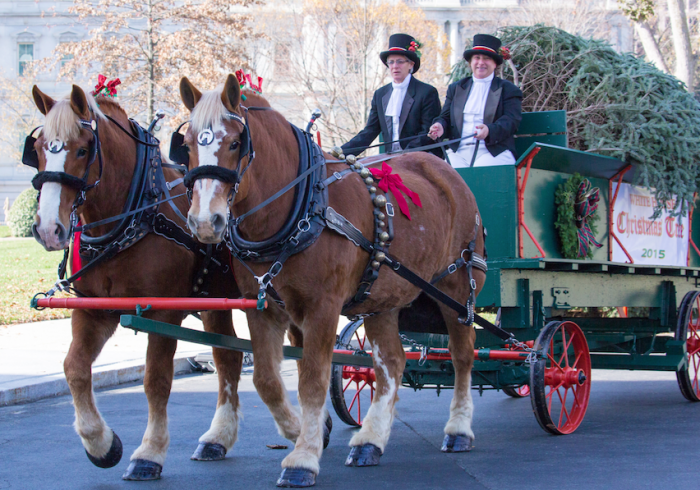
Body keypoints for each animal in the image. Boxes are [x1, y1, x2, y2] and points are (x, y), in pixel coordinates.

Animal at [31, 84, 247, 478]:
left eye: (82, 149)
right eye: (38, 149)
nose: (48, 228)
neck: (134, 215)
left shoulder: (163, 312)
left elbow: (156, 380)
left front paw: (149, 453)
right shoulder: (94, 310)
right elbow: (75, 369)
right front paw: (100, 444)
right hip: (215, 299)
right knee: (228, 357)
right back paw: (218, 437)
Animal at [180, 74, 486, 488]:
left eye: (233, 143)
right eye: (188, 143)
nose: (204, 222)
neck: (301, 207)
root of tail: (446, 170)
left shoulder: (321, 308)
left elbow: (312, 379)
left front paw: (304, 457)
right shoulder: (263, 308)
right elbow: (265, 379)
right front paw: (297, 430)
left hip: (456, 290)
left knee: (462, 355)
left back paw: (459, 429)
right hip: (382, 298)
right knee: (392, 362)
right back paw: (371, 440)